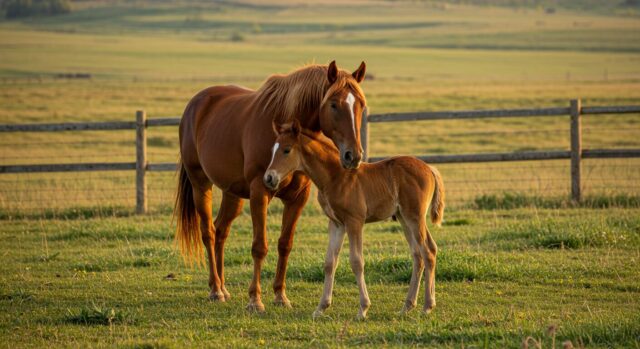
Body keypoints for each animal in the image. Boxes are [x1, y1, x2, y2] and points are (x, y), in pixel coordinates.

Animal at [175, 61, 368, 312]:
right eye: (334, 104)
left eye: (361, 105)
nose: (353, 156)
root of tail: (195, 104)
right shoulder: (260, 191)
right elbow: (259, 246)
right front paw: (255, 300)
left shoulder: (298, 198)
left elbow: (285, 244)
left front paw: (280, 295)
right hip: (200, 184)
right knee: (208, 232)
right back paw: (215, 289)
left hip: (232, 193)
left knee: (220, 231)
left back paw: (223, 287)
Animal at [264, 121, 444, 318]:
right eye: (273, 150)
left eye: (287, 150)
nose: (269, 177)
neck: (335, 177)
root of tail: (429, 168)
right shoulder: (336, 224)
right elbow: (329, 262)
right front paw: (321, 308)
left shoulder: (354, 222)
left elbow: (357, 261)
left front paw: (363, 308)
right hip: (404, 218)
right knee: (418, 254)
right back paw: (407, 306)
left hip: (415, 217)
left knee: (428, 251)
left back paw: (427, 306)